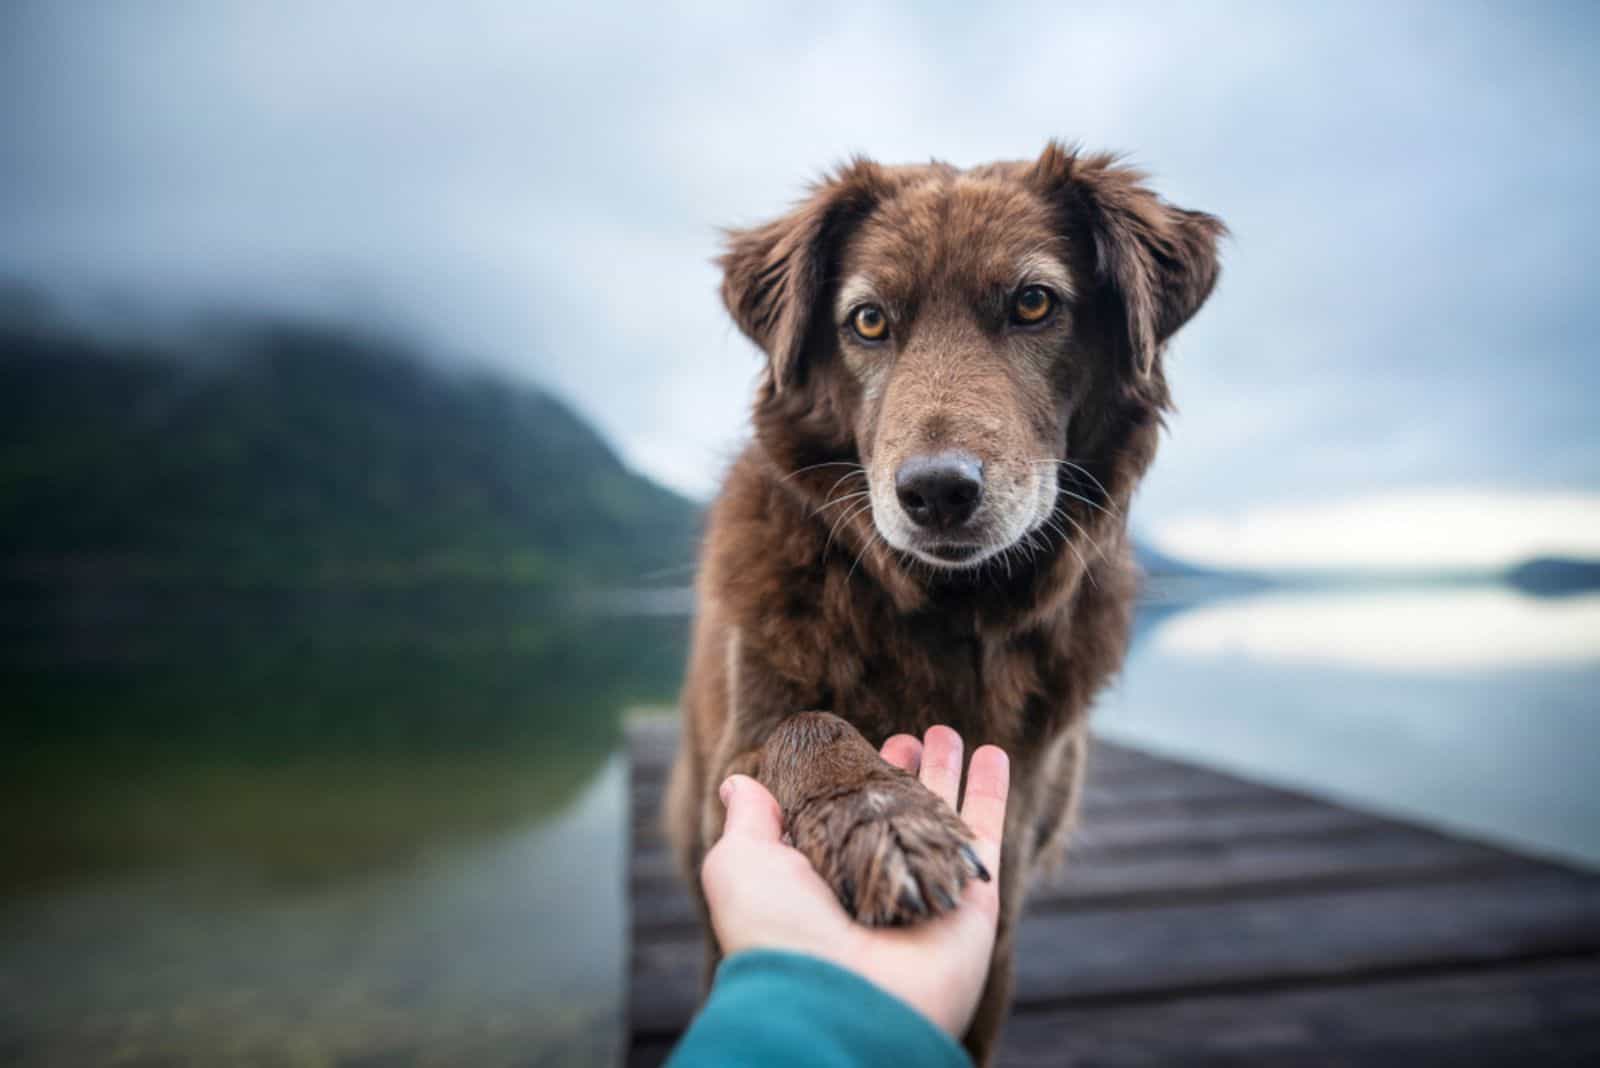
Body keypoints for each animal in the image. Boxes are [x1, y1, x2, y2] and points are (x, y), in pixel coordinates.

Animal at [662, 141, 1222, 1061]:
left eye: (1033, 303)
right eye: (868, 321)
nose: (936, 493)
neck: (947, 612)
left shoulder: (1010, 890)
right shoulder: (739, 754)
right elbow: (806, 728)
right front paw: (882, 817)